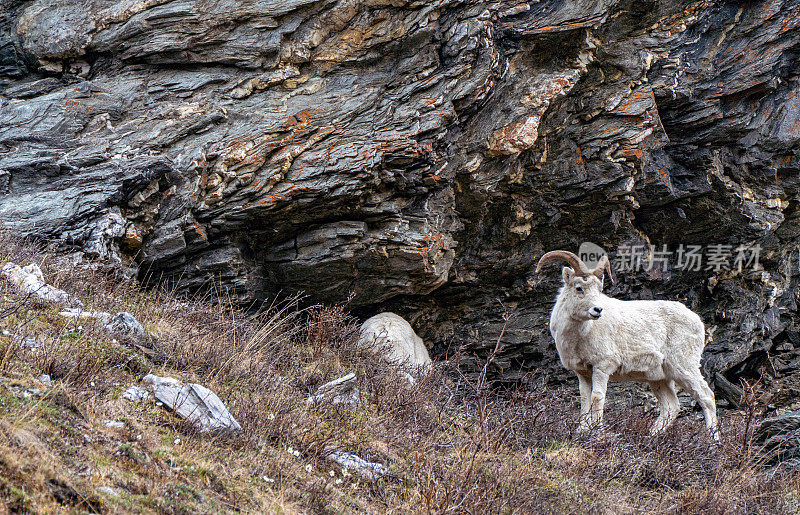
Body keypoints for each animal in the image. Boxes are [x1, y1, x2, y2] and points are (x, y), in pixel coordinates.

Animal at [536, 252, 720, 438]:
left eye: (599, 289)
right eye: (579, 288)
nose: (597, 310)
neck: (580, 336)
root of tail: (697, 320)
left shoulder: (602, 367)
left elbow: (597, 397)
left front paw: (596, 432)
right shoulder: (583, 373)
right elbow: (584, 398)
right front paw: (582, 431)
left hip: (684, 367)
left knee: (706, 397)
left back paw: (712, 439)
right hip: (660, 377)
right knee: (671, 407)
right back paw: (651, 436)